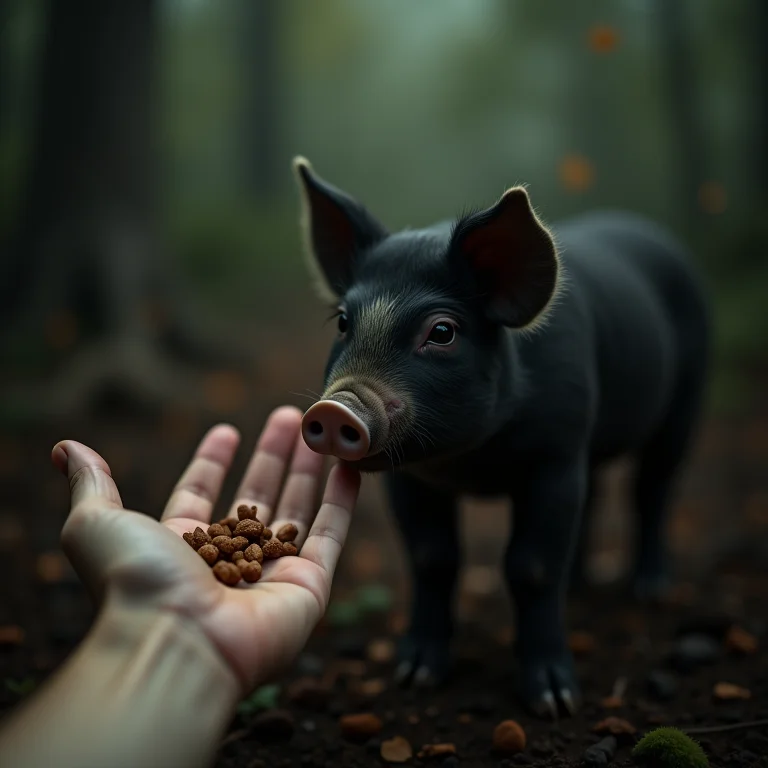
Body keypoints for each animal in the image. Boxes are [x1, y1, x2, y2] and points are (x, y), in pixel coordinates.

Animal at [292, 156, 710, 718]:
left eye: (442, 332)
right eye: (342, 321)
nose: (336, 408)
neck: (474, 462)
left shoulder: (556, 454)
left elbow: (531, 567)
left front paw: (555, 702)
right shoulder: (413, 477)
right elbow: (433, 558)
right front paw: (413, 677)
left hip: (684, 402)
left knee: (653, 488)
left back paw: (650, 590)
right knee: (597, 495)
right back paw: (581, 585)